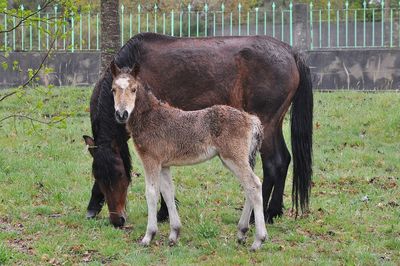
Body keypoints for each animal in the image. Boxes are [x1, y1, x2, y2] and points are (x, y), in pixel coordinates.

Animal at [83, 32, 312, 228]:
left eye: (121, 175)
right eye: (97, 176)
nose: (117, 220)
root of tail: (290, 52)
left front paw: (163, 212)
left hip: (267, 124)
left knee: (274, 163)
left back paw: (262, 214)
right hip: (274, 124)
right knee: (284, 160)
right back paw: (274, 211)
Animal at [110, 61, 266, 250]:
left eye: (133, 89)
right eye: (113, 89)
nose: (121, 114)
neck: (149, 117)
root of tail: (251, 119)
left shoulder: (151, 160)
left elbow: (152, 193)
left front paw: (148, 236)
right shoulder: (164, 165)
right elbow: (168, 192)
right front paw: (174, 234)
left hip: (234, 158)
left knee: (254, 185)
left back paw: (258, 240)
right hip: (234, 160)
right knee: (248, 187)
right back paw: (242, 232)